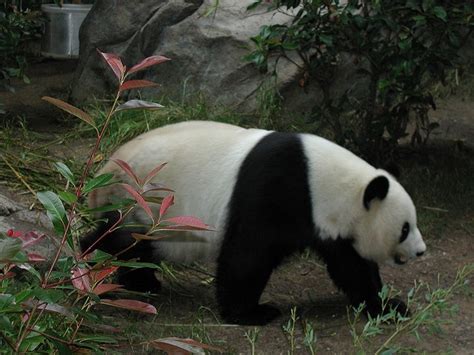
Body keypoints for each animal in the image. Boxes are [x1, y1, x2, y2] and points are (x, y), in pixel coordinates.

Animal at [81, 121, 426, 326]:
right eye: (405, 228)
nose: (421, 251)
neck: (322, 180)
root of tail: (104, 172)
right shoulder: (277, 191)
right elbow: (247, 255)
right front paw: (251, 313)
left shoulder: (329, 224)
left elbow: (351, 265)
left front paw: (388, 306)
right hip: (140, 200)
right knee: (122, 241)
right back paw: (90, 272)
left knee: (141, 248)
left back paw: (141, 282)